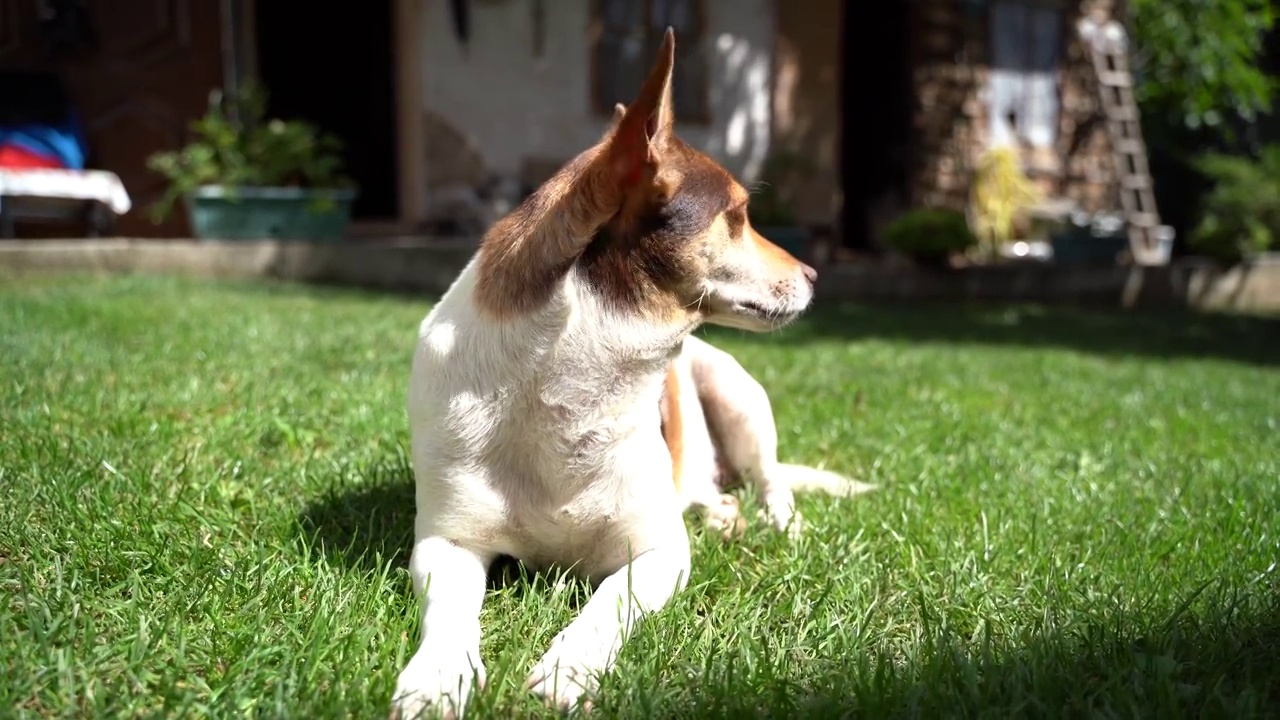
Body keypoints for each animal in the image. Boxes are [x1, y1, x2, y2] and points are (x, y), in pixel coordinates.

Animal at [389, 29, 870, 717]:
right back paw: (723, 514)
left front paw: (568, 668)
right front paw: (435, 678)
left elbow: (608, 604)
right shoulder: (445, 544)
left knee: (770, 478)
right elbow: (449, 613)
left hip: (737, 395)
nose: (813, 275)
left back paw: (780, 520)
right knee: (713, 490)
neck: (576, 377)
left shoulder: (659, 551)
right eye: (739, 216)